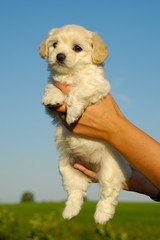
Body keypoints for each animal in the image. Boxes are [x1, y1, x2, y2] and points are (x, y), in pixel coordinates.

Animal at [39, 25, 131, 224]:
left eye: (77, 48)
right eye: (54, 45)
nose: (59, 56)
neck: (72, 75)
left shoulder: (97, 86)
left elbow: (78, 91)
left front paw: (73, 113)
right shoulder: (53, 97)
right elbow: (52, 87)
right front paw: (52, 97)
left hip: (110, 171)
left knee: (108, 194)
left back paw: (102, 217)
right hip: (66, 168)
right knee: (76, 192)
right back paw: (69, 212)